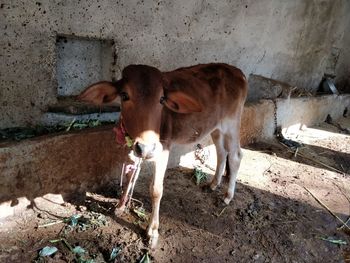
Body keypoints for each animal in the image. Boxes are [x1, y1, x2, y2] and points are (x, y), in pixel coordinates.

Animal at [79, 63, 249, 249]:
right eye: (124, 95)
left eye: (161, 99)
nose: (147, 147)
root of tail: (237, 71)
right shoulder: (135, 148)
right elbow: (131, 175)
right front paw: (121, 205)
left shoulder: (163, 150)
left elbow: (156, 190)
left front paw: (152, 231)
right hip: (216, 127)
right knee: (221, 152)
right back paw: (213, 184)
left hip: (232, 124)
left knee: (235, 156)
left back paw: (228, 195)